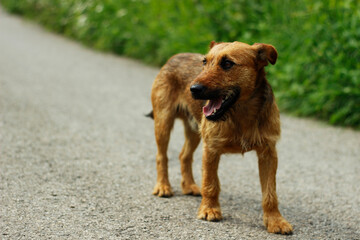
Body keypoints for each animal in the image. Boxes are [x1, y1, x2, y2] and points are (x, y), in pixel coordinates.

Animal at [148, 41, 292, 234]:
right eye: (204, 62)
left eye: (227, 64)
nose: (193, 89)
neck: (241, 114)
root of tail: (174, 57)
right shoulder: (211, 149)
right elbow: (211, 183)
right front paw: (209, 209)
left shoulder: (268, 153)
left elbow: (270, 193)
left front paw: (275, 220)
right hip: (163, 122)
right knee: (161, 156)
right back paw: (163, 186)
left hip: (194, 130)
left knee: (184, 155)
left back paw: (189, 186)